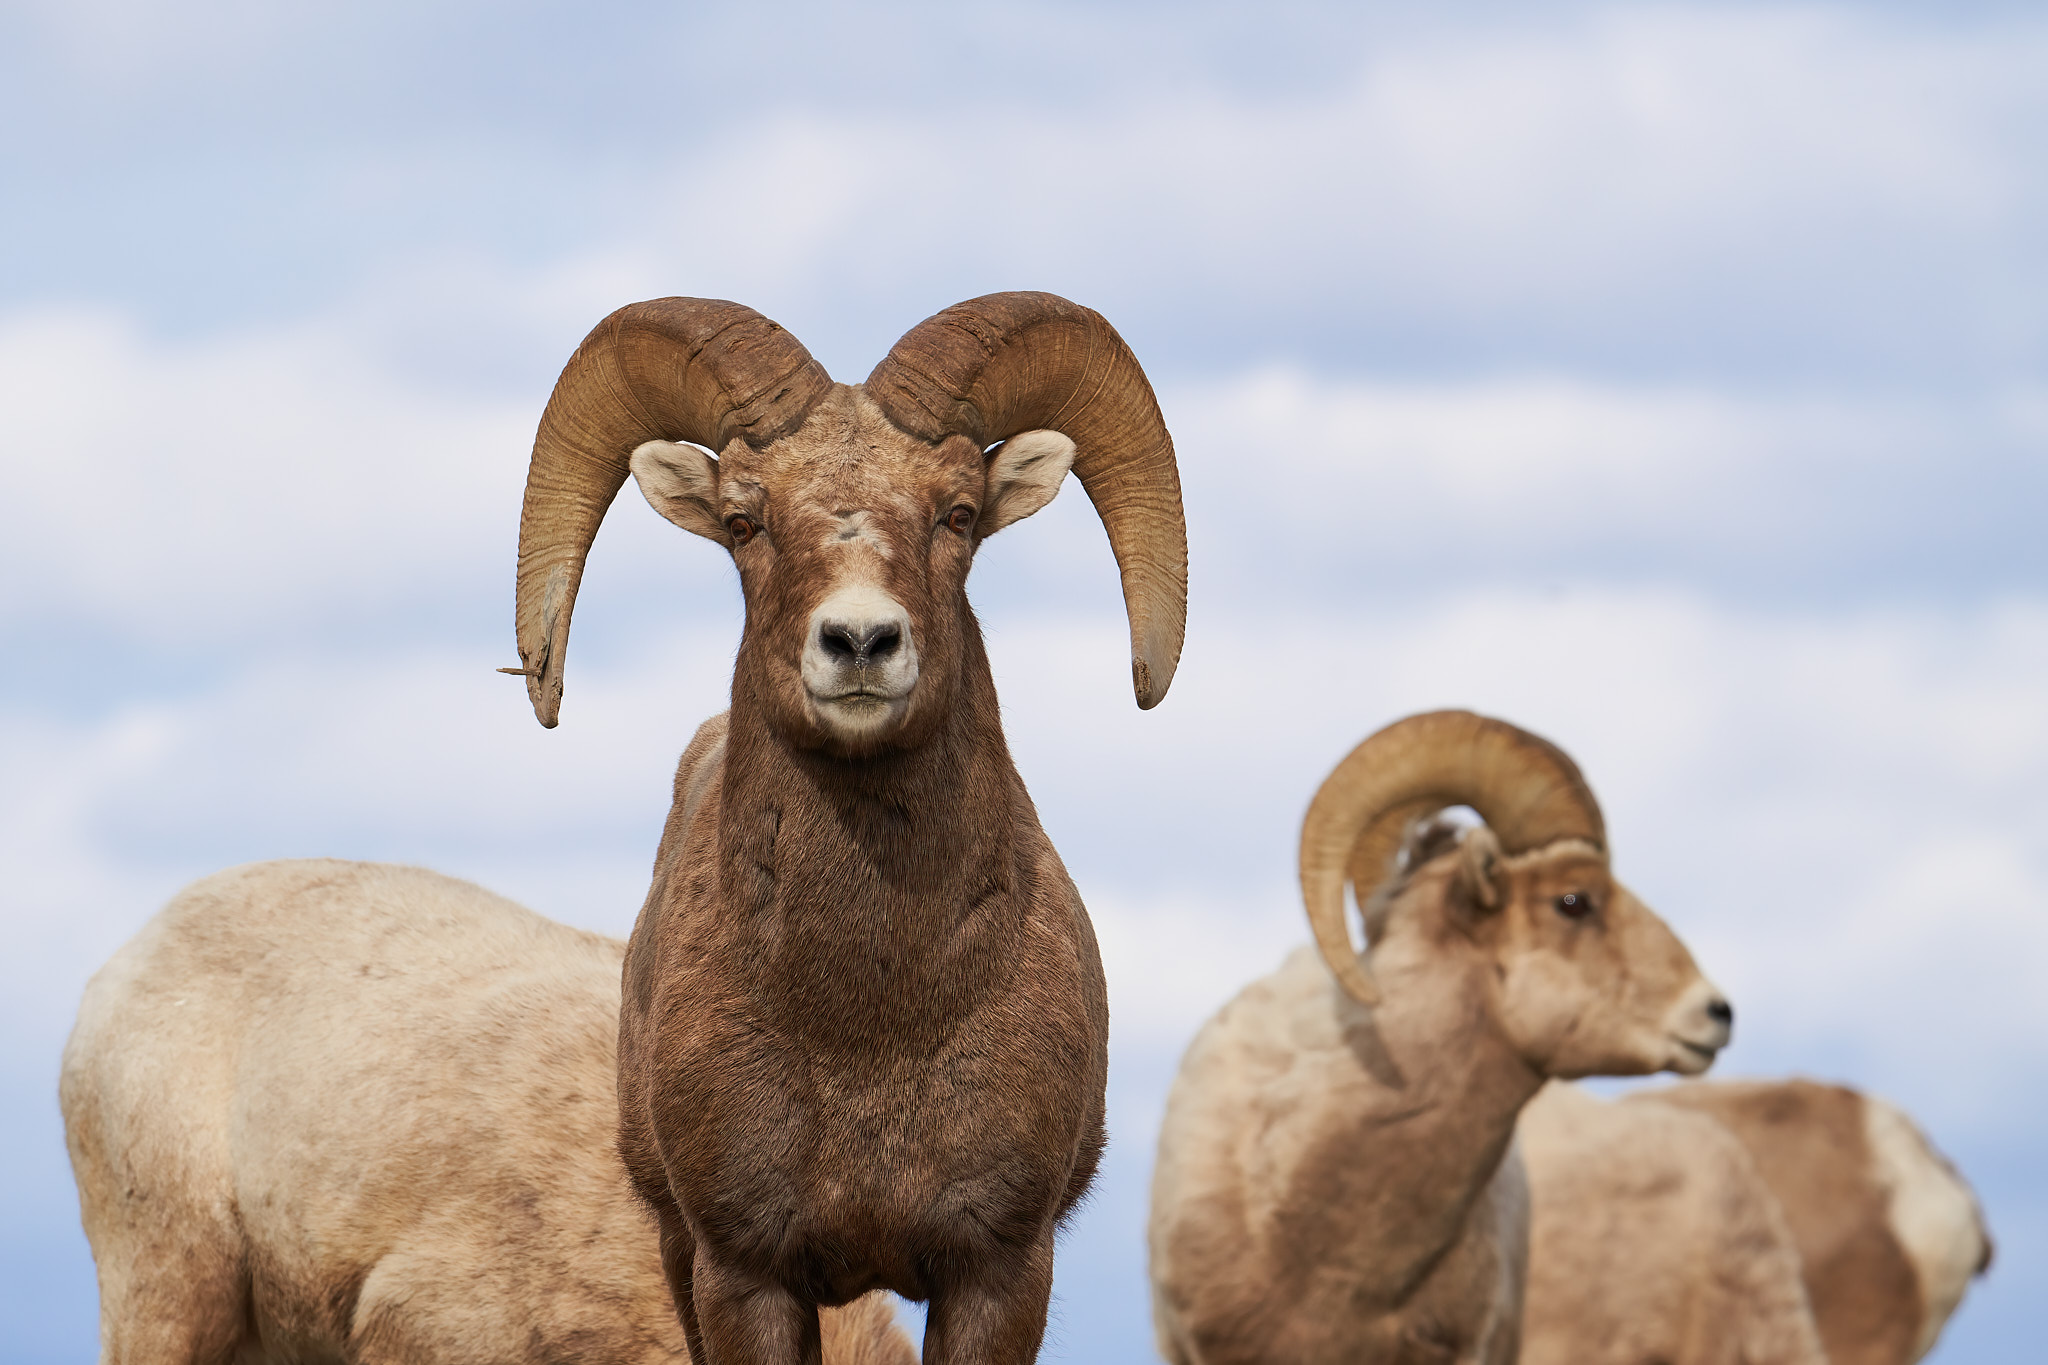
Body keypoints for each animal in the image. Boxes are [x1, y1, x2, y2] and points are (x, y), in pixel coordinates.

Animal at [506, 293, 1187, 1365]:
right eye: (744, 520)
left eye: (958, 513)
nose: (860, 640)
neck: (869, 1020)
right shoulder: (744, 1272)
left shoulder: (998, 1270)